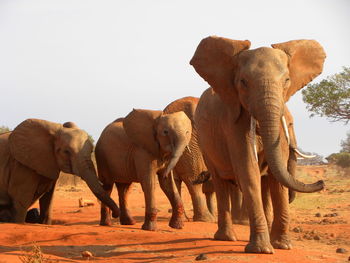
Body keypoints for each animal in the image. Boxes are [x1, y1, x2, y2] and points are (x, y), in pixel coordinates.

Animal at [190, 36, 326, 254]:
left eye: (287, 81)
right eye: (243, 82)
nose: (321, 182)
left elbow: (275, 175)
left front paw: (283, 245)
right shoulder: (233, 122)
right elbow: (248, 168)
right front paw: (261, 250)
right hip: (204, 144)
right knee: (220, 183)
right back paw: (226, 238)